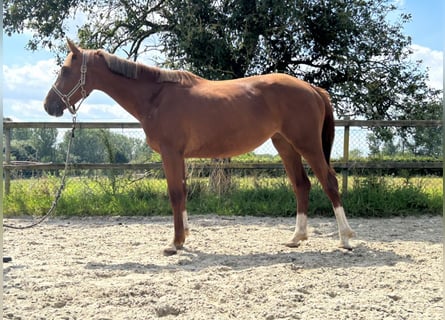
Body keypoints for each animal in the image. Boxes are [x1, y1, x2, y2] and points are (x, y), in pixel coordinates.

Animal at [42, 39, 354, 255]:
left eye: (65, 70)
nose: (49, 105)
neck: (156, 96)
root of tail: (312, 89)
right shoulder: (178, 156)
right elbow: (182, 192)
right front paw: (184, 238)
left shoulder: (170, 153)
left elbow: (175, 193)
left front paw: (175, 243)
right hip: (285, 145)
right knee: (301, 185)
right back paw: (296, 238)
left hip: (306, 144)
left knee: (329, 181)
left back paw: (345, 238)